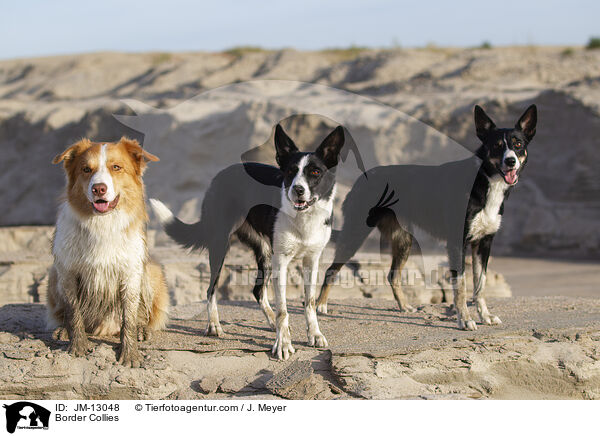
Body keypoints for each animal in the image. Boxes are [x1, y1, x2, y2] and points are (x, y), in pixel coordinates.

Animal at [46, 137, 169, 368]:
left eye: (116, 167)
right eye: (86, 169)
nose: (99, 189)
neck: (101, 223)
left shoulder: (130, 272)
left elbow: (129, 318)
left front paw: (130, 353)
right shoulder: (67, 270)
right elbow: (73, 311)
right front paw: (77, 345)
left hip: (152, 270)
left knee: (143, 315)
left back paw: (142, 329)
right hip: (53, 274)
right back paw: (63, 330)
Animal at [151, 124, 346, 360]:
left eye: (315, 172)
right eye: (290, 172)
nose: (297, 190)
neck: (304, 217)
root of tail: (221, 174)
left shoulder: (312, 260)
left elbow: (309, 302)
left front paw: (314, 334)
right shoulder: (282, 261)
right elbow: (283, 309)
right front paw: (283, 344)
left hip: (266, 253)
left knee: (257, 290)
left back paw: (271, 322)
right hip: (220, 245)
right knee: (211, 289)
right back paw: (214, 325)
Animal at [316, 105, 536, 330]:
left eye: (518, 144)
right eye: (497, 145)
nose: (511, 161)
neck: (485, 181)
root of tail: (363, 177)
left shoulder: (484, 243)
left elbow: (480, 285)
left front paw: (485, 316)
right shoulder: (457, 244)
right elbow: (461, 286)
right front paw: (465, 319)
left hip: (404, 240)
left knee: (393, 275)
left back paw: (404, 306)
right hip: (356, 233)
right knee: (331, 270)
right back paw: (321, 306)